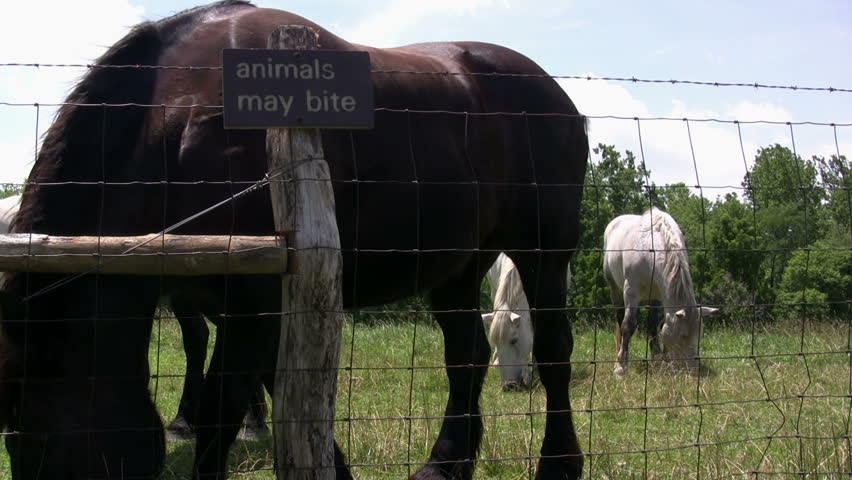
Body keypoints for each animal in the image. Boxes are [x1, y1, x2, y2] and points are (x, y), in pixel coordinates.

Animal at [602, 208, 718, 378]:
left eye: (700, 335)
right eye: (683, 335)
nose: (693, 371)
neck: (650, 250)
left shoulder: (659, 297)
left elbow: (654, 324)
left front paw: (660, 361)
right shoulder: (631, 291)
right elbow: (628, 325)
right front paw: (621, 368)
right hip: (615, 288)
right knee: (619, 318)